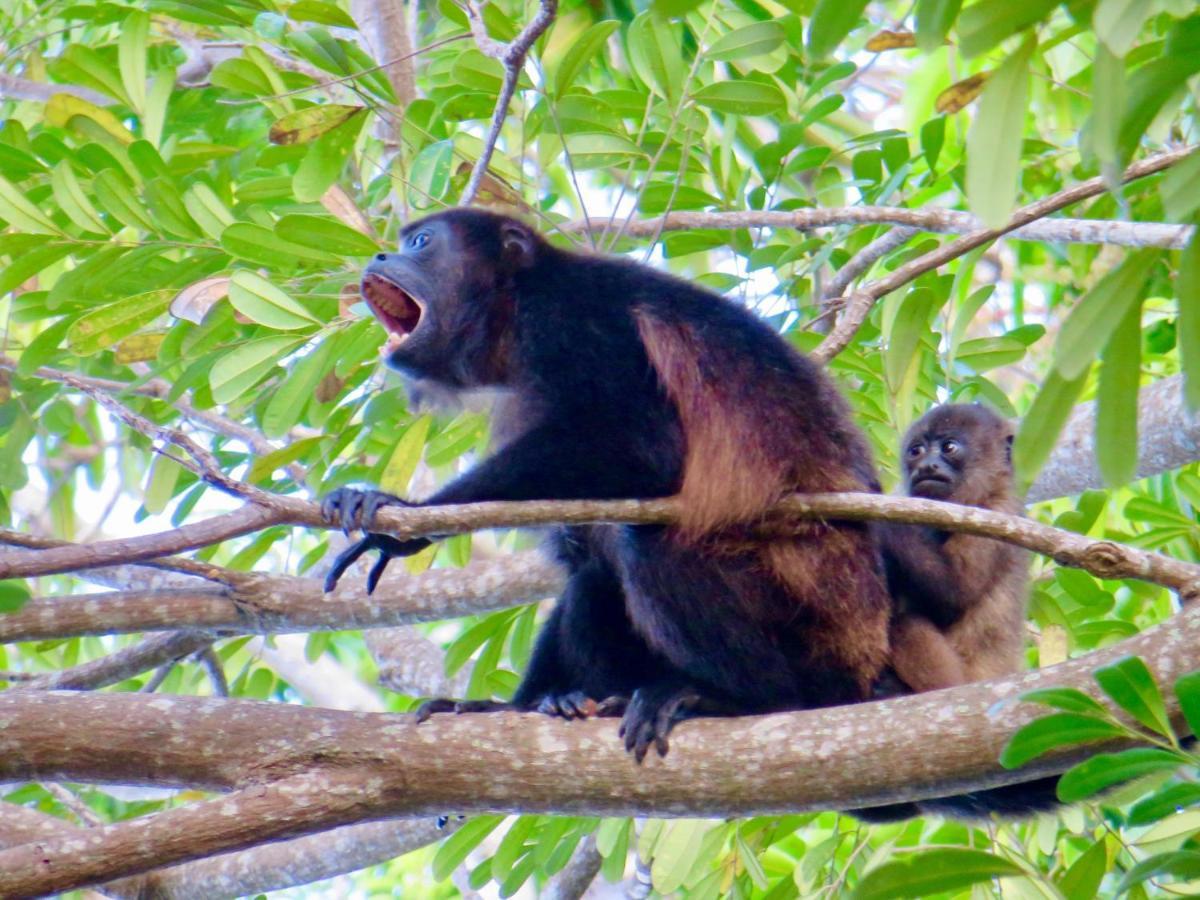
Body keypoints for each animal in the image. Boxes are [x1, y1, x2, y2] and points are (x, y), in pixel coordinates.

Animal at [319, 210, 892, 763]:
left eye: (421, 243)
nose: (381, 254)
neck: (511, 308)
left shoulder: (574, 319)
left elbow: (644, 447)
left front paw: (404, 520)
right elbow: (578, 553)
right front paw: (502, 706)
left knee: (645, 540)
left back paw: (740, 698)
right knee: (595, 573)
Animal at [883, 405, 1032, 696]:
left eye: (949, 447)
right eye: (916, 450)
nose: (927, 465)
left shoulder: (998, 511)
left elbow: (955, 591)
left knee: (904, 624)